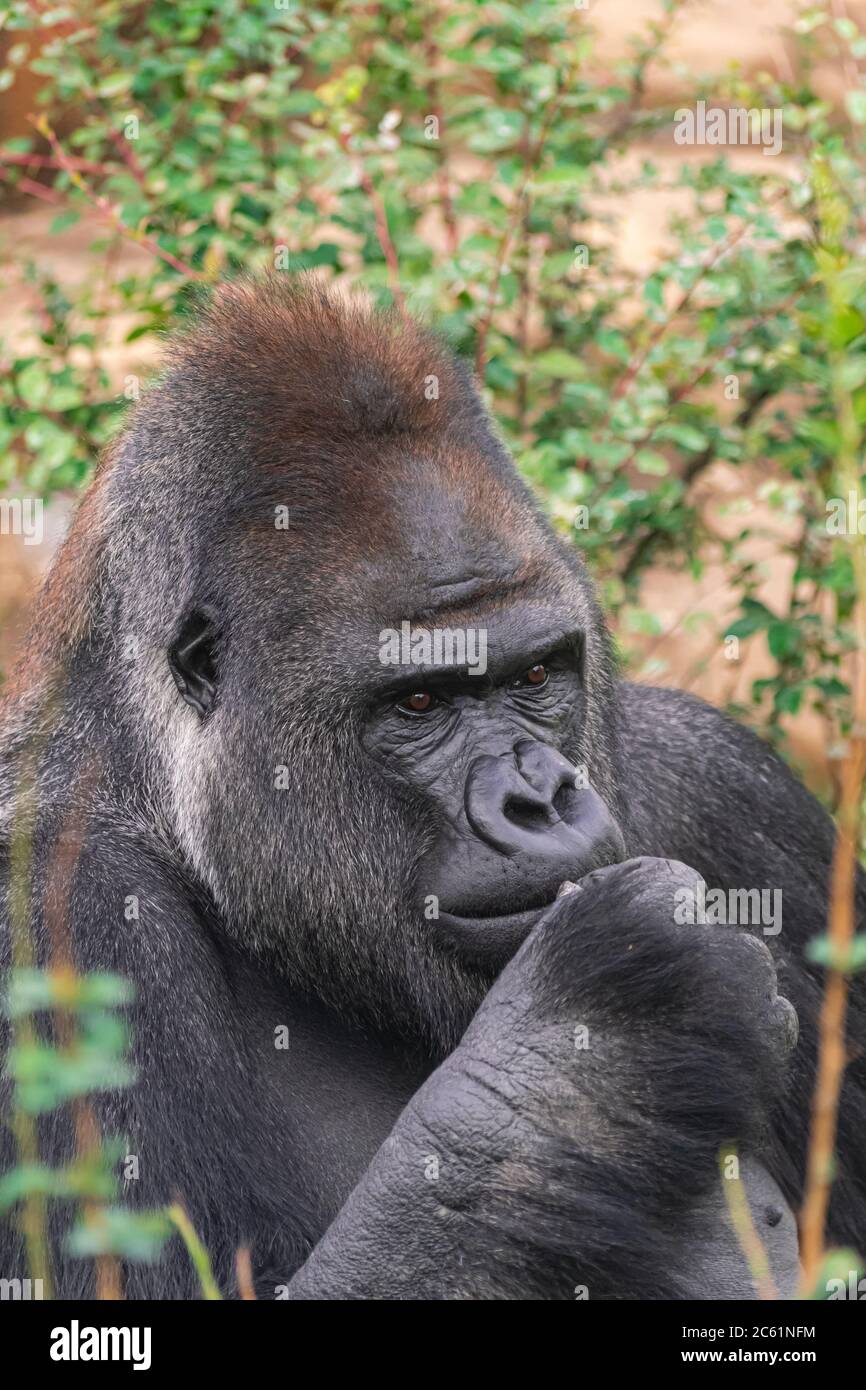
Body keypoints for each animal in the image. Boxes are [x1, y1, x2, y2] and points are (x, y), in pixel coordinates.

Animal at [0, 276, 861, 1295]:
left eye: (535, 677)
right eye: (420, 702)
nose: (539, 800)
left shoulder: (731, 789)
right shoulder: (54, 905)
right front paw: (600, 1043)